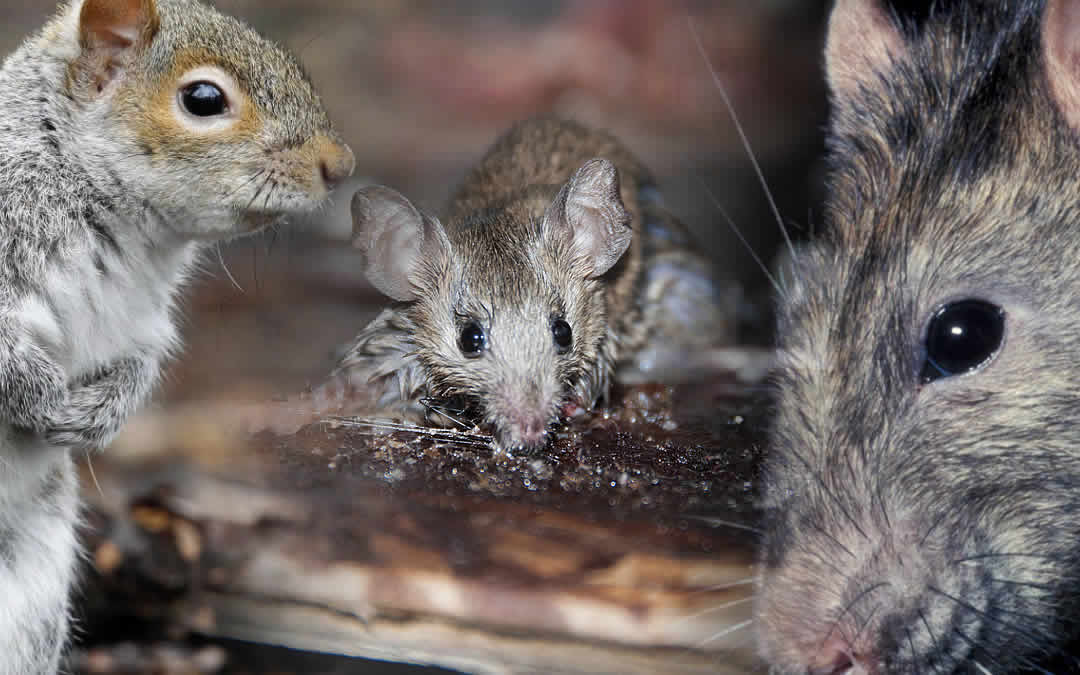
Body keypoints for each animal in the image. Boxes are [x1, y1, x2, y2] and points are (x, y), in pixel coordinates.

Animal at [0, 0, 353, 671]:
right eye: (204, 99)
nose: (340, 165)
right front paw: (43, 397)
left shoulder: (141, 318)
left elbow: (138, 365)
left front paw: (97, 416)